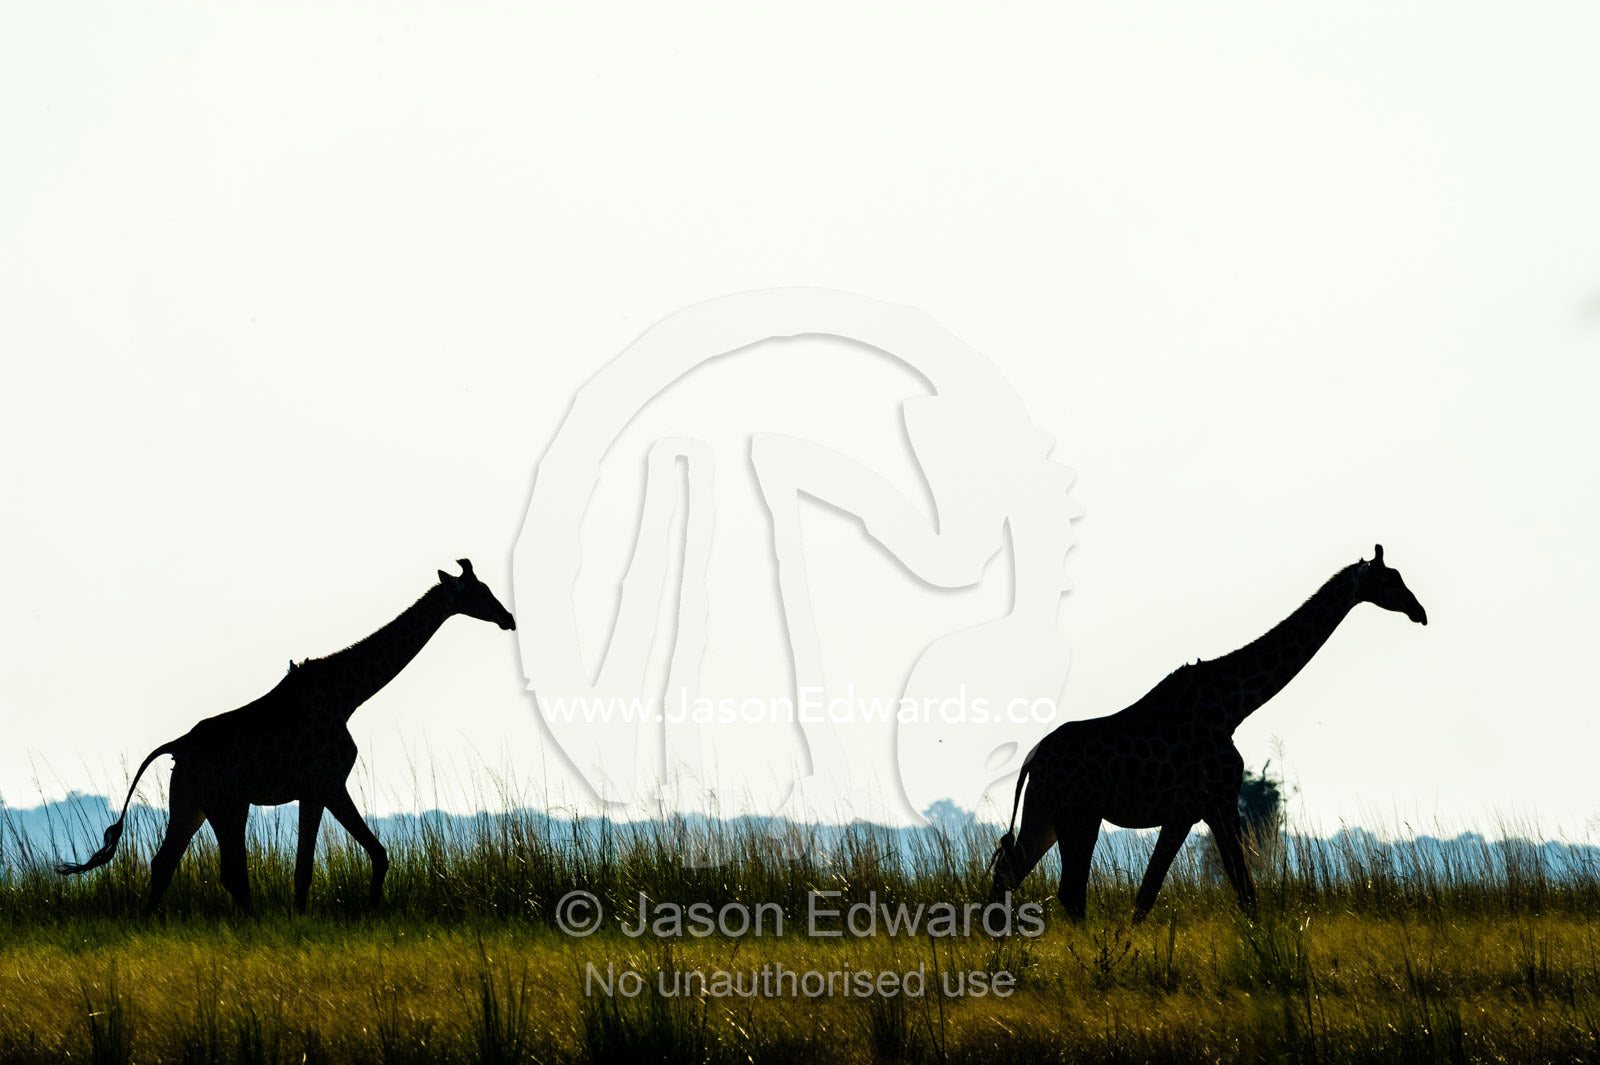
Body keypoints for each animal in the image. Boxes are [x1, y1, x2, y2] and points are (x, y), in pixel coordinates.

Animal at [56, 559, 515, 913]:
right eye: (479, 592)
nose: (508, 618)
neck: (348, 696)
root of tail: (176, 747)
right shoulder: (326, 783)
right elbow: (348, 859)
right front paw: (354, 915)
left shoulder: (313, 790)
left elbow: (318, 865)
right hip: (227, 803)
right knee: (229, 870)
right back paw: (251, 924)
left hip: (190, 801)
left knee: (164, 862)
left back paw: (152, 922)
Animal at [989, 545, 1426, 923]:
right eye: (1389, 579)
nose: (1419, 611)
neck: (1232, 706)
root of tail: (1032, 759)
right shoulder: (1218, 801)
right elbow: (1240, 890)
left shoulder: (1189, 812)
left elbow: (1151, 895)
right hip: (1079, 814)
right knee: (1068, 892)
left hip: (1045, 811)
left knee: (1010, 869)